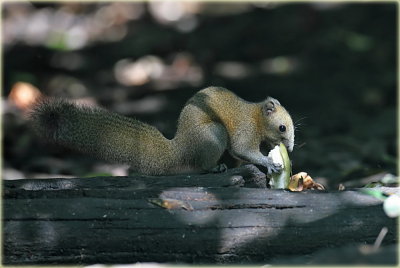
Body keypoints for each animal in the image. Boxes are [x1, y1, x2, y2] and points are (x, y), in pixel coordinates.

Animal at [30, 86, 294, 177]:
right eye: (282, 127)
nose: (289, 148)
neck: (257, 117)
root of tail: (181, 148)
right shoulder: (245, 130)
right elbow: (241, 149)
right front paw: (269, 163)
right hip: (214, 134)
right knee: (202, 163)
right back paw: (214, 167)